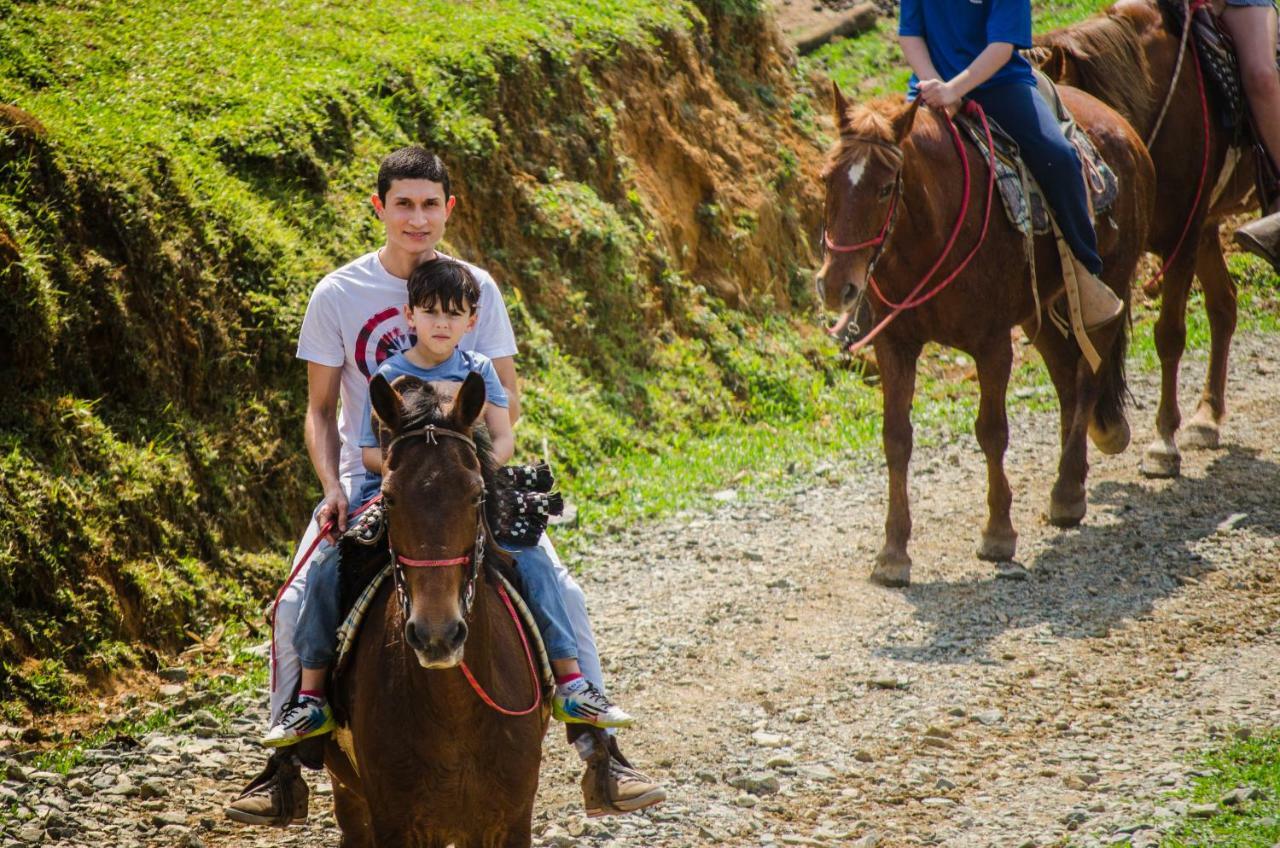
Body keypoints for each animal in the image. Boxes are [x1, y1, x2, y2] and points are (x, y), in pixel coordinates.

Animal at [322, 376, 547, 845]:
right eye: (388, 498)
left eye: (477, 495)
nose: (437, 635)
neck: (454, 711)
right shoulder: (393, 822)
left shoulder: (511, 821)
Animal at [819, 89, 1162, 589]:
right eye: (826, 180)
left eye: (884, 189)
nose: (834, 286)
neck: (932, 234)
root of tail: (1125, 129)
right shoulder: (895, 345)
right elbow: (896, 439)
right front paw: (893, 552)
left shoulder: (992, 344)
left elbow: (992, 432)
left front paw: (999, 532)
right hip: (1040, 315)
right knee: (1066, 380)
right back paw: (1073, 483)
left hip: (1111, 283)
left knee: (1087, 378)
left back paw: (1065, 492)